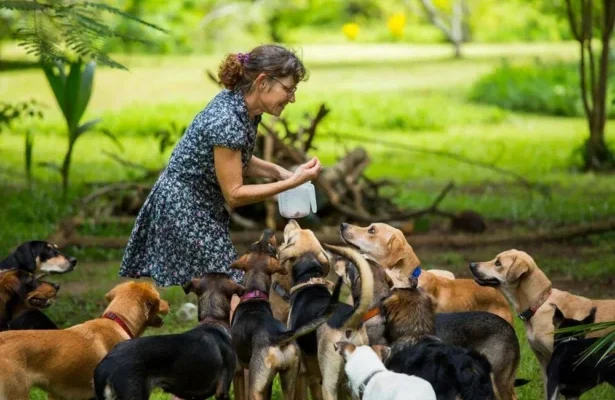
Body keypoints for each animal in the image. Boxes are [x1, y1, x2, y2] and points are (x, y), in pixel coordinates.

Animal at [280, 219, 376, 400]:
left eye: (290, 238)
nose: (291, 220)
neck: (310, 277)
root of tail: (349, 319)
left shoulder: (302, 373)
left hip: (329, 384)